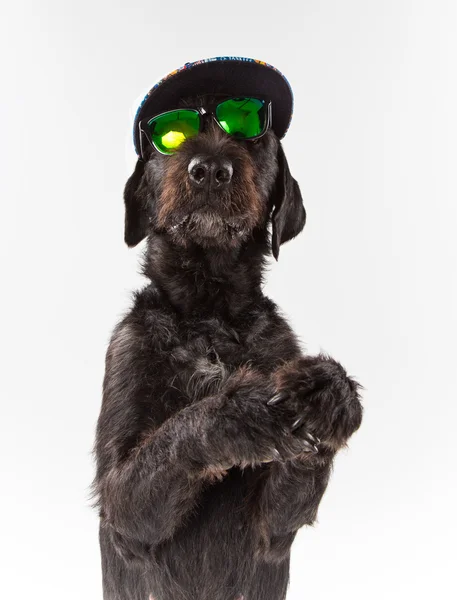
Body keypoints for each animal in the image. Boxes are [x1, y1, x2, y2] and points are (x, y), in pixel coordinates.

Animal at [93, 95, 364, 600]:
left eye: (248, 132)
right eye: (173, 136)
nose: (210, 170)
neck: (210, 314)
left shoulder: (273, 530)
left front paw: (328, 394)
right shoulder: (120, 504)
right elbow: (178, 433)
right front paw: (239, 415)